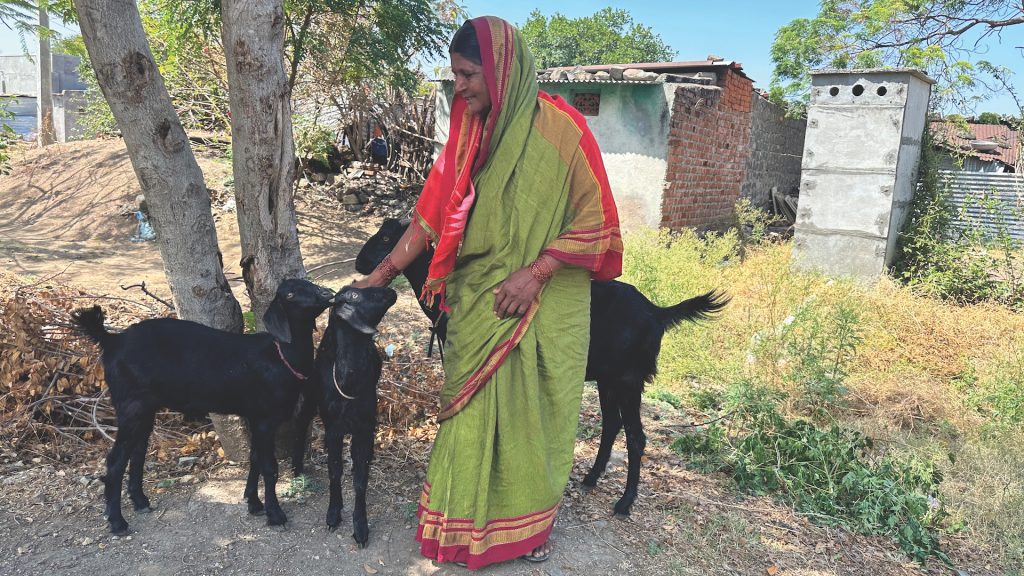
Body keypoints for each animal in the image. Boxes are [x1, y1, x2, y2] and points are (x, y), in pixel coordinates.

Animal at [73, 278, 335, 532]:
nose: (327, 293)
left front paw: (253, 502)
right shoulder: (265, 419)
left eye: (307, 283)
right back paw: (117, 522)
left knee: (138, 451)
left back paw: (140, 502)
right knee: (115, 460)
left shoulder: (254, 415)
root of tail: (111, 340)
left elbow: (254, 459)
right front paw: (275, 514)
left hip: (144, 409)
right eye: (289, 294)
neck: (282, 355)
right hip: (131, 406)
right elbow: (269, 467)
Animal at [292, 284, 399, 545]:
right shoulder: (334, 429)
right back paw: (297, 468)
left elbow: (360, 480)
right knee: (300, 425)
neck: (348, 381)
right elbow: (334, 471)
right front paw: (333, 514)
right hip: (308, 399)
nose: (391, 291)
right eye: (354, 295)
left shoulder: (363, 428)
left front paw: (360, 527)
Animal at [360, 217, 729, 512]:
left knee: (636, 437)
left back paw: (624, 503)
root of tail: (656, 312)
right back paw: (590, 478)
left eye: (386, 237)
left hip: (629, 378)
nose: (361, 264)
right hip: (609, 378)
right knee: (612, 424)